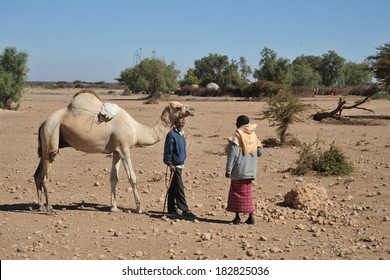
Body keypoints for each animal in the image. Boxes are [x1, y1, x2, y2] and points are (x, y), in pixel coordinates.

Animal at [33, 91, 195, 213]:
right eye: (178, 107)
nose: (192, 110)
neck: (136, 130)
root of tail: (43, 123)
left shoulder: (116, 151)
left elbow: (113, 178)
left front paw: (114, 207)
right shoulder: (124, 149)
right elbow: (132, 177)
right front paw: (140, 208)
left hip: (47, 142)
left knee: (37, 174)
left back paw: (40, 205)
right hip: (52, 132)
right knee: (46, 173)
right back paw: (49, 208)